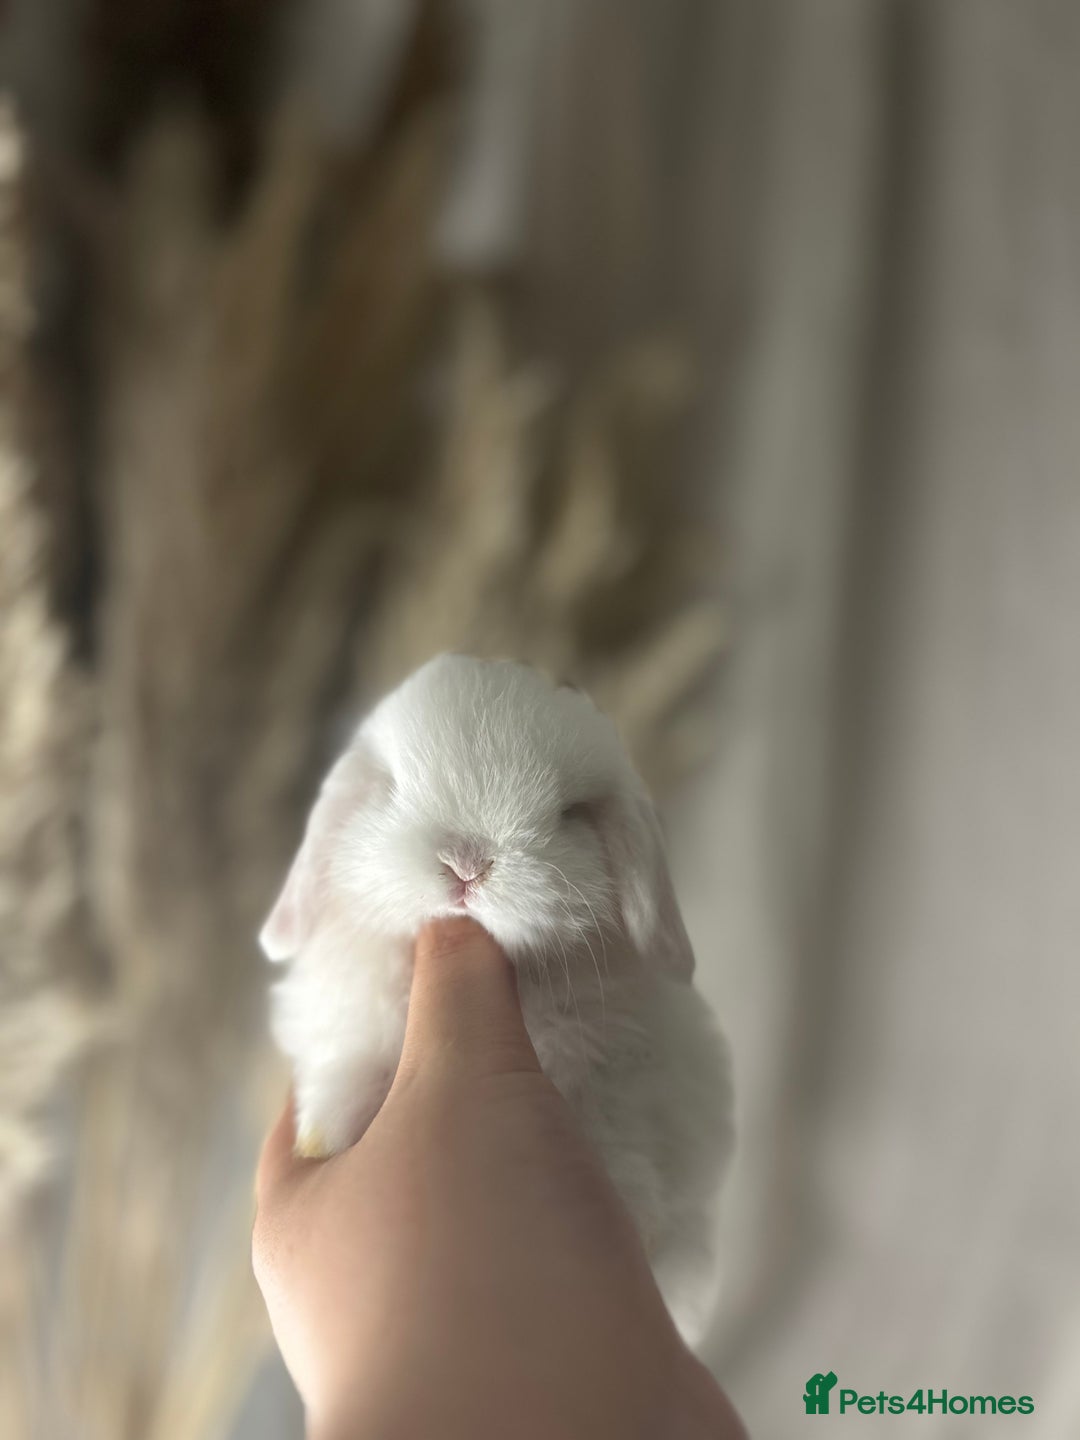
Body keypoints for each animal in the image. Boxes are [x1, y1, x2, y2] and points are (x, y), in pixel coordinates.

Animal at [260, 653, 734, 1344]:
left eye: (571, 814)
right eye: (391, 790)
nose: (466, 863)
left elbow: (620, 1135)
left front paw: (631, 1215)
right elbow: (347, 1068)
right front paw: (325, 1136)